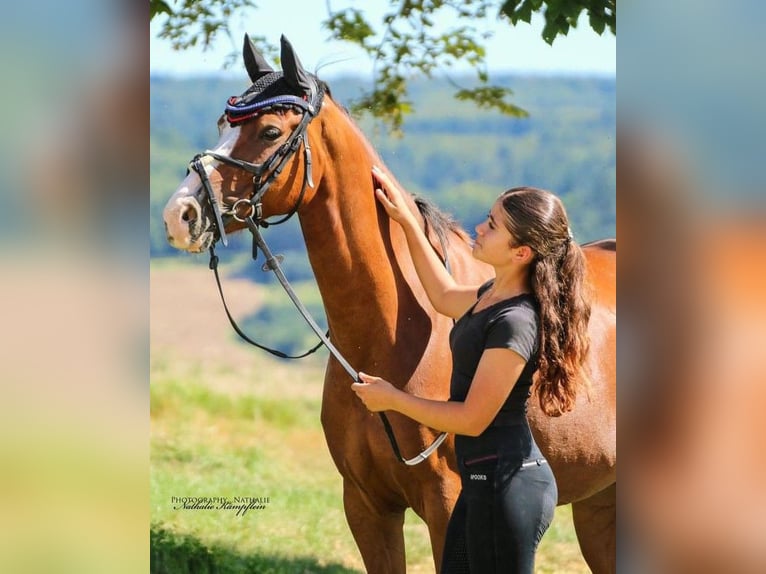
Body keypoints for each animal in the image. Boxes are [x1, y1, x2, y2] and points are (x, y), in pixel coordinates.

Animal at [164, 35, 616, 572]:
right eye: (221, 124)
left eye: (270, 130)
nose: (180, 215)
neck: (393, 335)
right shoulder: (365, 504)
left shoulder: (446, 505)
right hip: (598, 507)